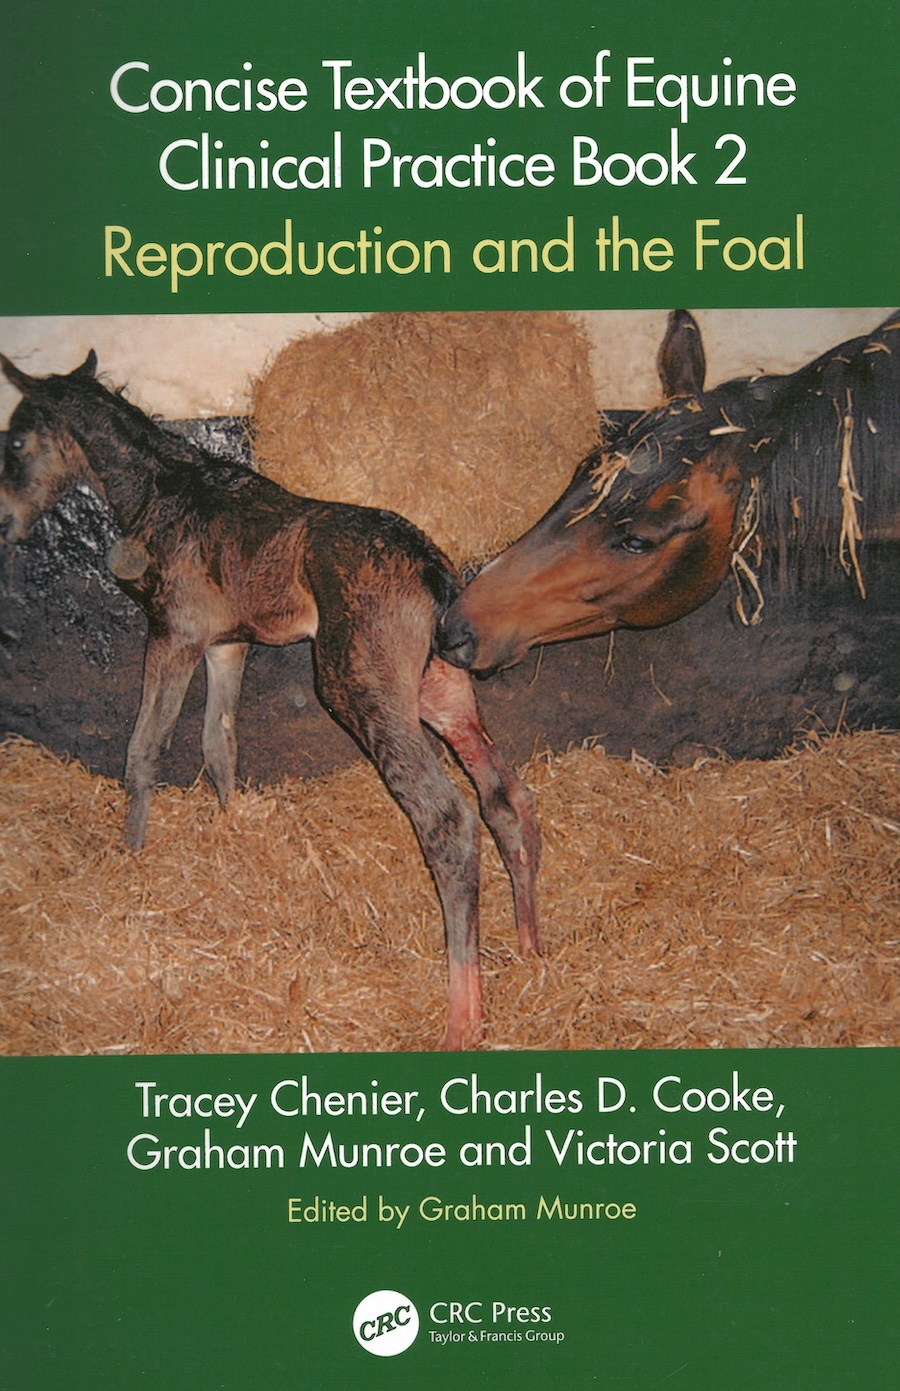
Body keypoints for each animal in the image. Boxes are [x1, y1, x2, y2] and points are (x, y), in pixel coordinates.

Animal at [0, 351, 540, 1050]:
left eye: (14, 441)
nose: (5, 524)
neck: (163, 488)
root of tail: (432, 569)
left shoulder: (172, 633)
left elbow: (145, 749)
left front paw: (133, 858)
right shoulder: (227, 645)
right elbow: (219, 741)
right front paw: (233, 830)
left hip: (357, 686)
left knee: (447, 819)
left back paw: (462, 1020)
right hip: (439, 688)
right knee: (505, 796)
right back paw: (530, 949)